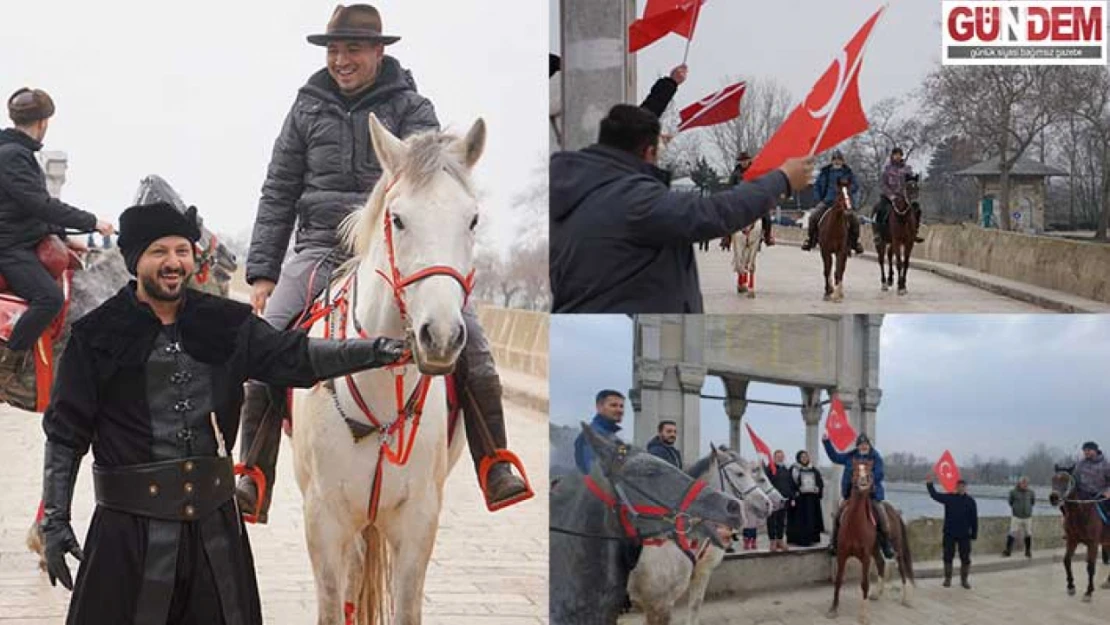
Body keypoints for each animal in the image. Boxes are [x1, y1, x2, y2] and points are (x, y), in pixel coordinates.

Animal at [293, 113, 488, 625]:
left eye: (472, 219)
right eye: (397, 219)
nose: (440, 335)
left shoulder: (418, 518)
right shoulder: (324, 518)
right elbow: (331, 605)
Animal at [830, 457, 914, 621]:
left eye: (869, 471)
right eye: (855, 470)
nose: (863, 482)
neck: (855, 523)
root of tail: (894, 511)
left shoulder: (865, 557)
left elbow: (864, 583)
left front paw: (863, 615)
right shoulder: (842, 554)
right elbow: (838, 580)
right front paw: (834, 608)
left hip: (896, 547)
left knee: (902, 568)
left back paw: (906, 599)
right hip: (875, 548)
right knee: (881, 563)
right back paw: (877, 593)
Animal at [1047, 470, 1110, 599]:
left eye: (1066, 480)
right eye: (1053, 479)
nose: (1054, 497)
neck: (1082, 513)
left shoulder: (1093, 544)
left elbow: (1090, 567)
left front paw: (1088, 591)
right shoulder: (1072, 540)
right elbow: (1066, 560)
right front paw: (1071, 586)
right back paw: (1107, 582)